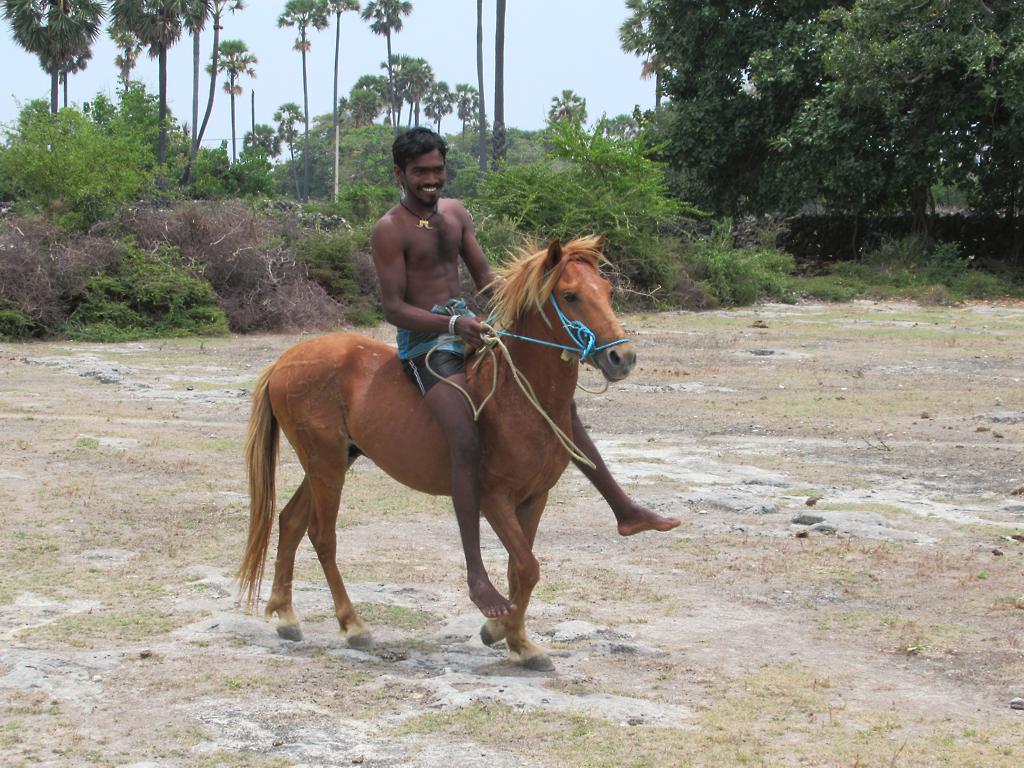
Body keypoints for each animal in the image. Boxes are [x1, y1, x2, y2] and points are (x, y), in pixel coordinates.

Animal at [237, 235, 637, 671]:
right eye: (570, 295)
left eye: (607, 291)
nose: (622, 358)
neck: (519, 397)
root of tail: (283, 362)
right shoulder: (494, 498)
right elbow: (528, 567)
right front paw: (502, 628)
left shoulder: (534, 498)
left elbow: (520, 569)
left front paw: (515, 639)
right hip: (327, 465)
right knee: (322, 537)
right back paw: (353, 624)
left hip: (329, 462)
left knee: (290, 521)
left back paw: (285, 614)